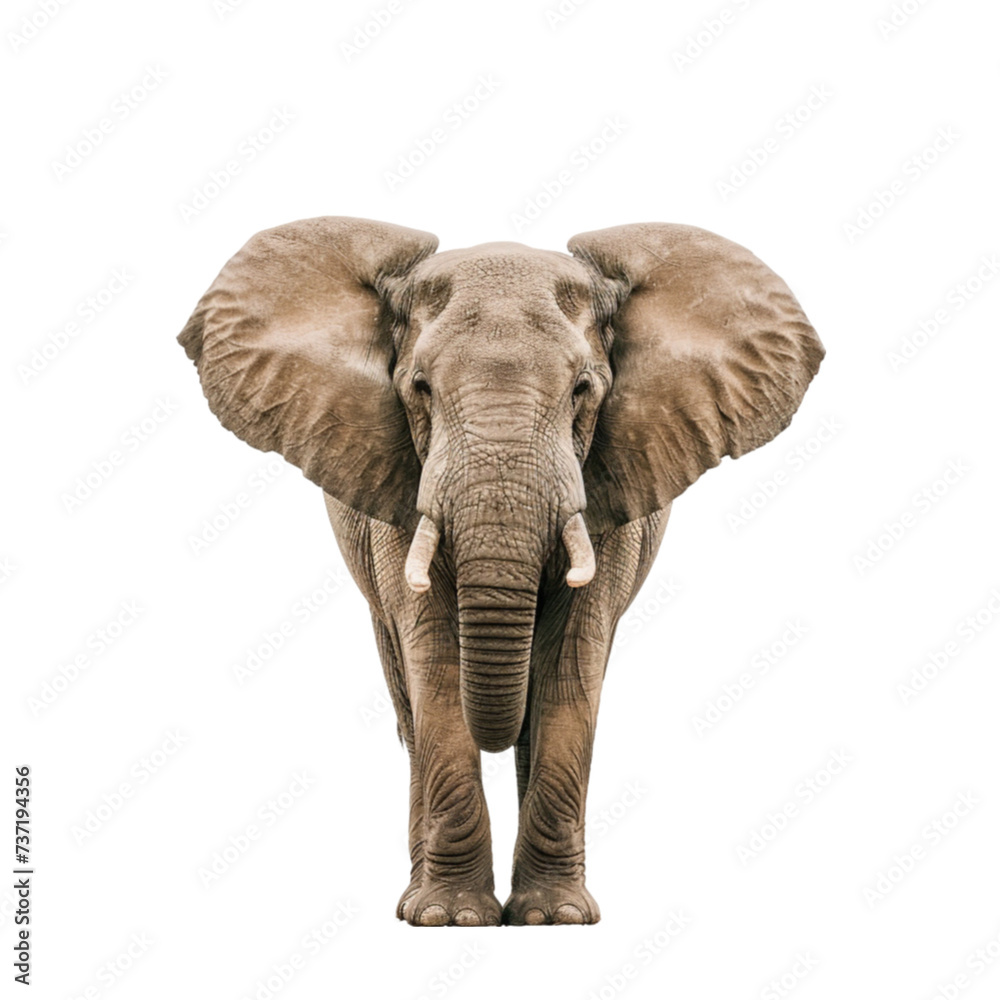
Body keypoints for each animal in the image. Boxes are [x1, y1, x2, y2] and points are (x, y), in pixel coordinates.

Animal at [178, 216, 824, 926]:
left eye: (582, 392)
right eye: (420, 390)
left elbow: (571, 667)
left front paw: (554, 918)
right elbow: (435, 666)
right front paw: (450, 918)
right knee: (409, 701)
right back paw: (413, 900)